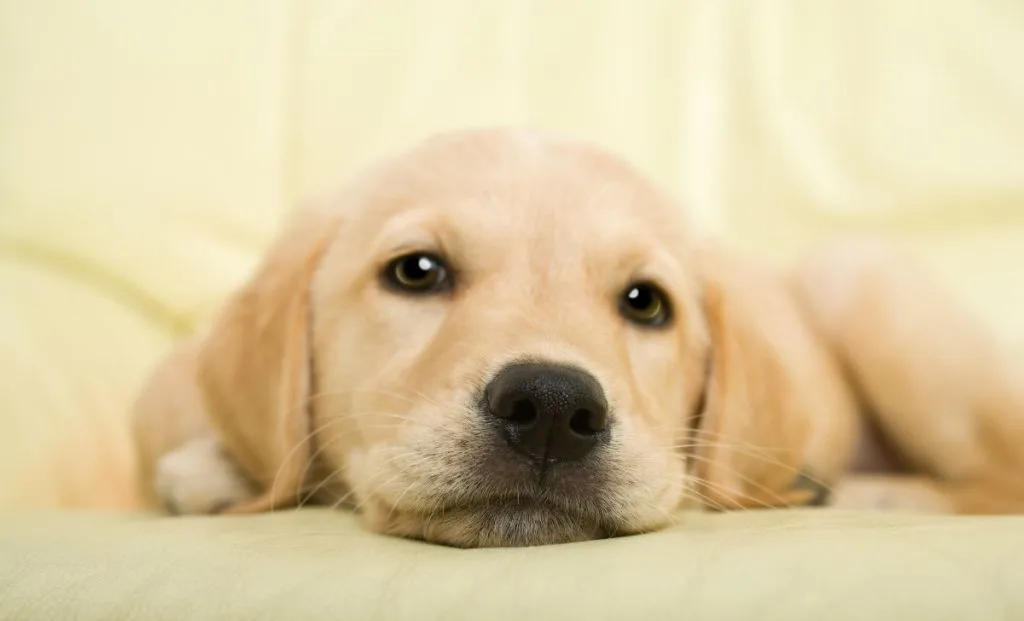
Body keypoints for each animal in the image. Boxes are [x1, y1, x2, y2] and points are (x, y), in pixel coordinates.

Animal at [130, 129, 1024, 549]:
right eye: (416, 271)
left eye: (645, 302)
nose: (554, 409)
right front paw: (218, 467)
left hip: (857, 270)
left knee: (1000, 476)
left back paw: (862, 493)